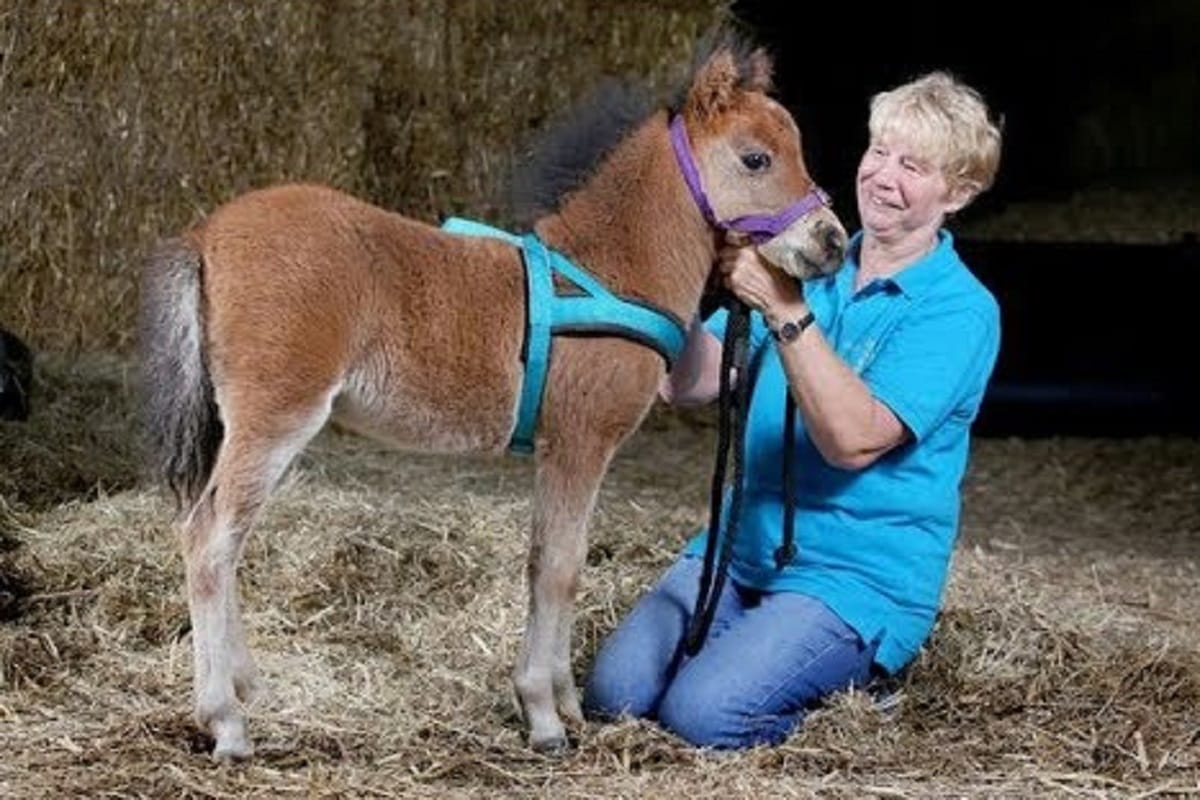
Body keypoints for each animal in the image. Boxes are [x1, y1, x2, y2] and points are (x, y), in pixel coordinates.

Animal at [137, 32, 848, 760]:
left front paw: (567, 706)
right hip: (275, 418)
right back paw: (225, 720)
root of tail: (207, 234)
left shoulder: (565, 450)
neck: (603, 269)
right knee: (209, 539)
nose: (832, 241)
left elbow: (556, 563)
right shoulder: (578, 442)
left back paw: (246, 688)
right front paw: (543, 716)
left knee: (224, 535)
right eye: (756, 158)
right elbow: (558, 567)